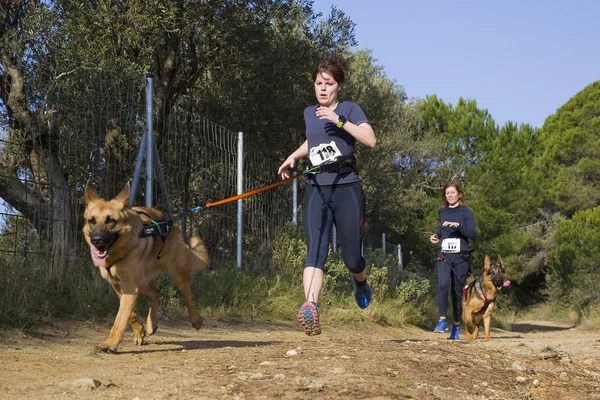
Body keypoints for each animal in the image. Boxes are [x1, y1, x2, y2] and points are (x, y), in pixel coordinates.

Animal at [82, 181, 209, 354]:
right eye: (92, 221)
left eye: (110, 220)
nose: (97, 239)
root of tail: (170, 223)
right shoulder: (119, 286)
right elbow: (129, 314)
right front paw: (139, 331)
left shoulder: (130, 287)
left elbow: (120, 319)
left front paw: (109, 344)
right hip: (142, 284)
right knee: (156, 292)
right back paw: (151, 324)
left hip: (176, 275)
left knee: (189, 294)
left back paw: (196, 320)